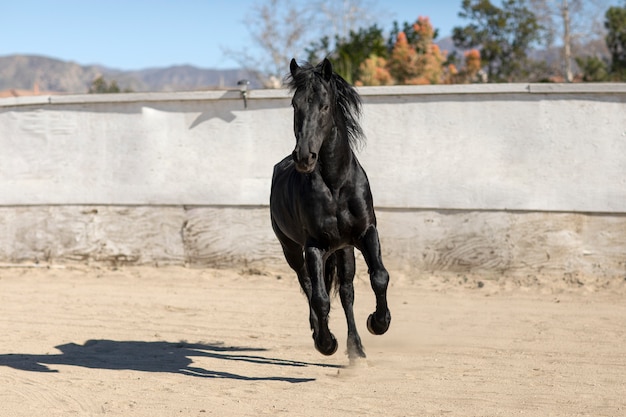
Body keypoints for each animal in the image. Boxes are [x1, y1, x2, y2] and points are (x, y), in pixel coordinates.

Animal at [270, 57, 390, 358]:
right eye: (295, 105)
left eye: (324, 106)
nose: (304, 157)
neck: (336, 185)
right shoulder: (314, 246)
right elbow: (320, 298)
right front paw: (326, 343)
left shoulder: (367, 233)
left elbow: (379, 276)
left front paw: (378, 323)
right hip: (291, 249)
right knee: (307, 285)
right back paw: (321, 334)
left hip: (344, 249)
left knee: (346, 291)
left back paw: (356, 348)